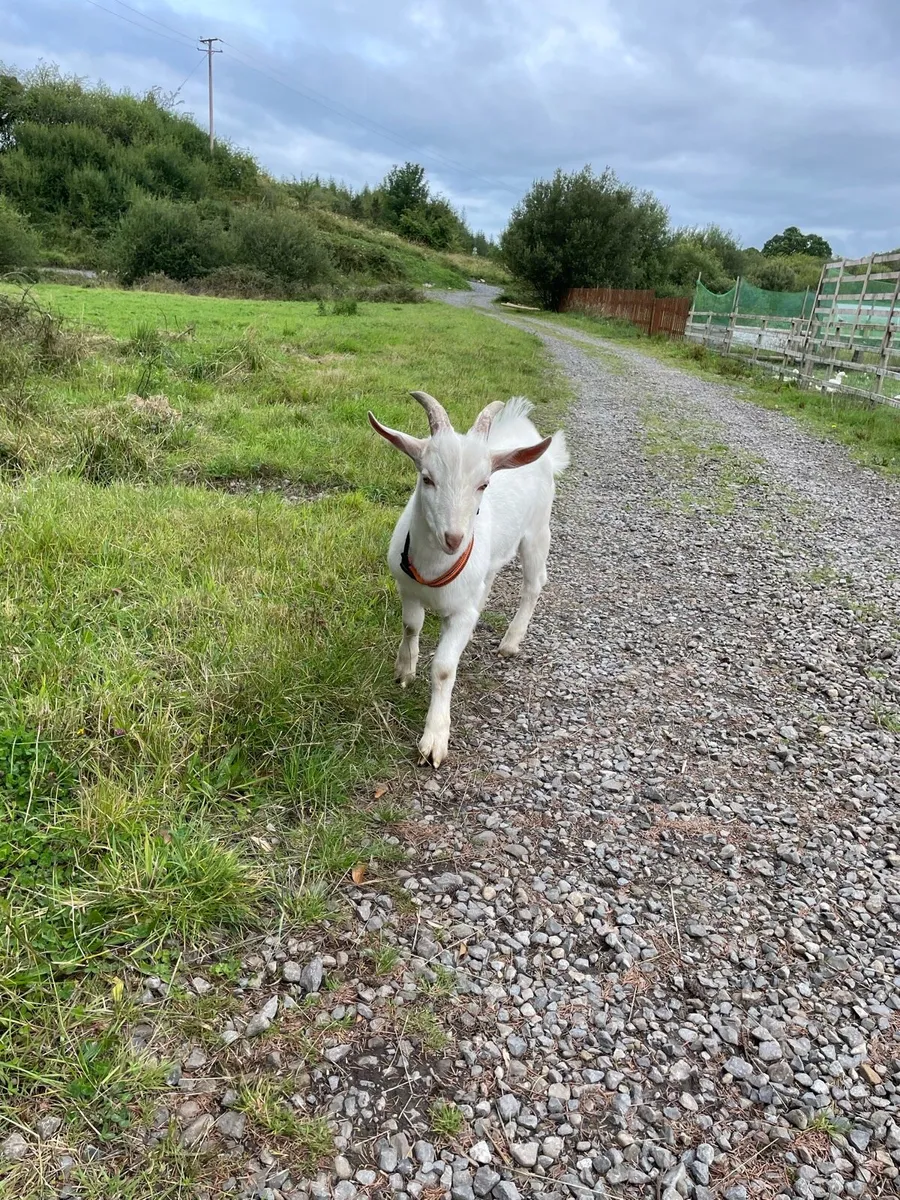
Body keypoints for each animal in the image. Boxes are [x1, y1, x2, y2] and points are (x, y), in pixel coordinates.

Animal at [368, 390, 569, 768]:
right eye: (427, 478)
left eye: (483, 484)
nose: (454, 538)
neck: (433, 570)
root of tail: (525, 432)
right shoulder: (407, 589)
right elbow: (411, 627)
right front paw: (404, 670)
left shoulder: (460, 612)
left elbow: (445, 669)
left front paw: (434, 740)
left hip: (537, 531)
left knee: (535, 582)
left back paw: (511, 641)